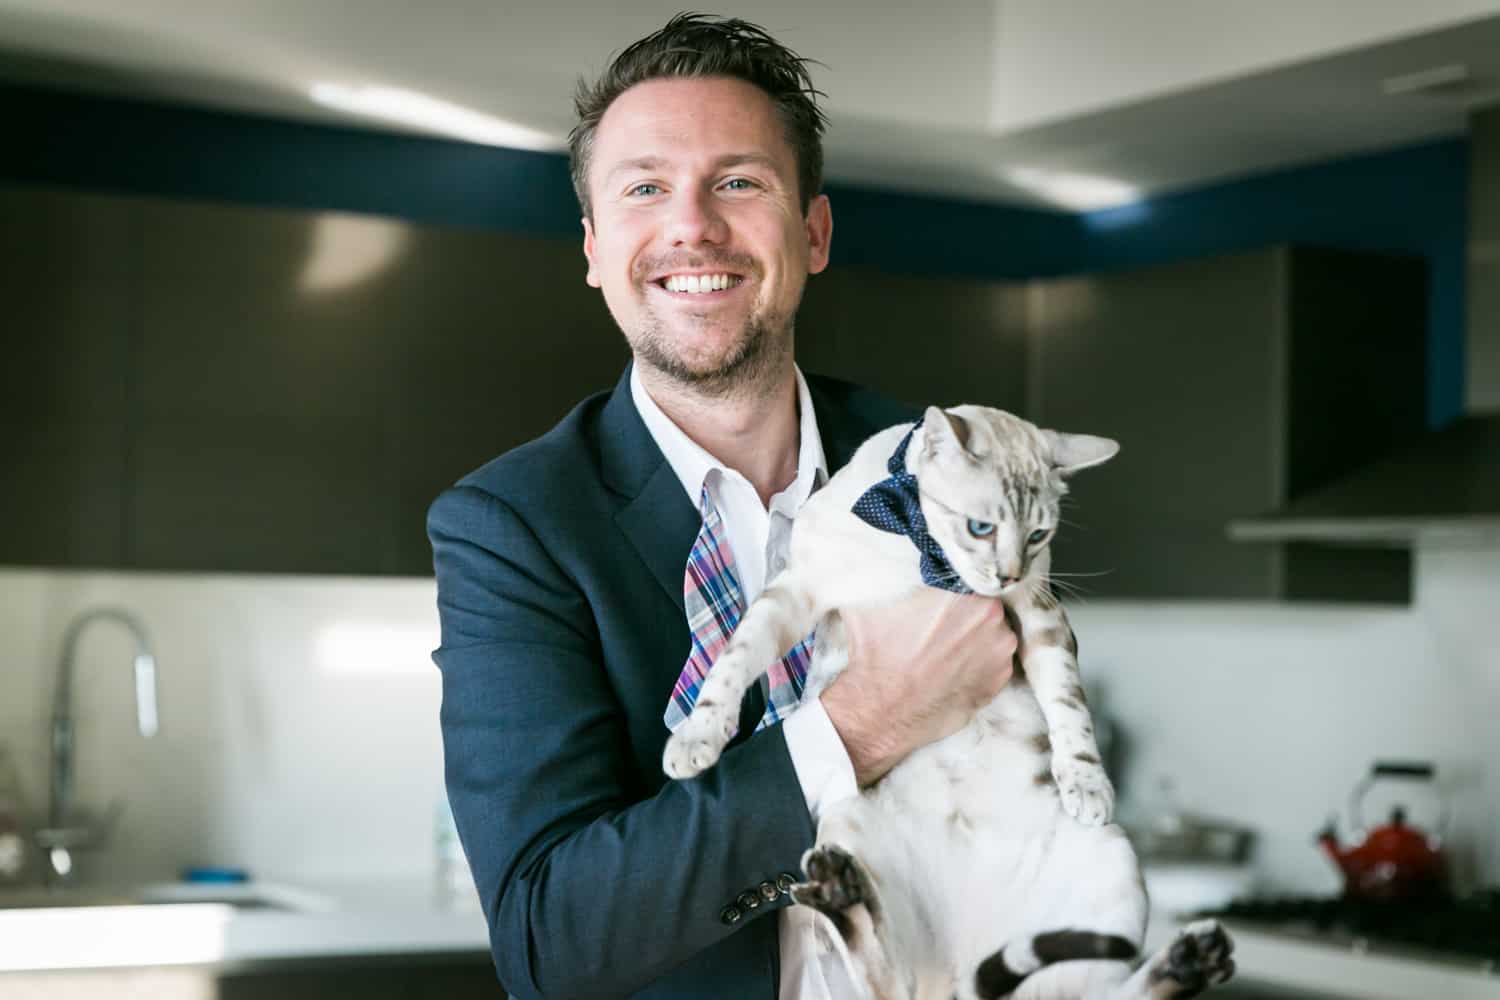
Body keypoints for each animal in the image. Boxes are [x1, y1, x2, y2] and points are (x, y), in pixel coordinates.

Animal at [663, 407, 1236, 1000]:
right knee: (888, 977)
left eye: (1038, 535)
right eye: (981, 527)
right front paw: (695, 740)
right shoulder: (797, 592)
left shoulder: (1038, 610)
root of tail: (958, 976)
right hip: (843, 821)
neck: (921, 550)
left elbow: (1069, 705)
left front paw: (1086, 783)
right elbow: (733, 660)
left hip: (1112, 864)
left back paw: (1192, 957)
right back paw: (843, 892)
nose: (1006, 574)